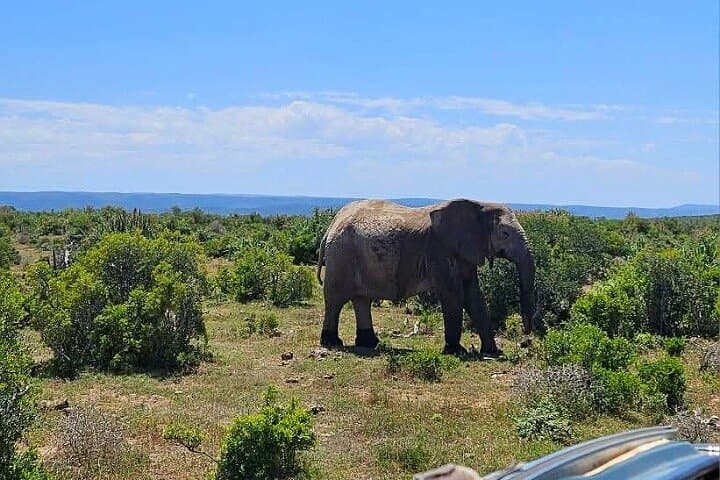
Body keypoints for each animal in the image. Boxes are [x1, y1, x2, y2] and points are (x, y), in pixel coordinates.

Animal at [315, 198, 536, 355]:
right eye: (505, 233)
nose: (526, 338)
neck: (480, 204)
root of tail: (331, 225)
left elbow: (474, 296)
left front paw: (493, 352)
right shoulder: (440, 251)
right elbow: (453, 295)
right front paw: (456, 351)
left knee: (361, 299)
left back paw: (370, 343)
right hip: (341, 256)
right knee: (335, 300)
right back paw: (332, 342)